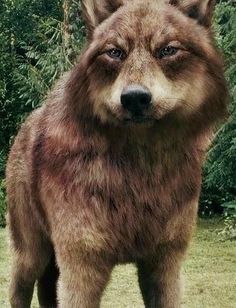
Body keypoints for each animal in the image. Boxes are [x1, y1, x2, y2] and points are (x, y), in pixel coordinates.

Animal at [6, 0, 229, 306]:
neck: (137, 169)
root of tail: (29, 121)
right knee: (20, 288)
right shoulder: (81, 270)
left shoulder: (165, 267)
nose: (135, 98)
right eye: (115, 52)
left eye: (168, 50)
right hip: (32, 256)